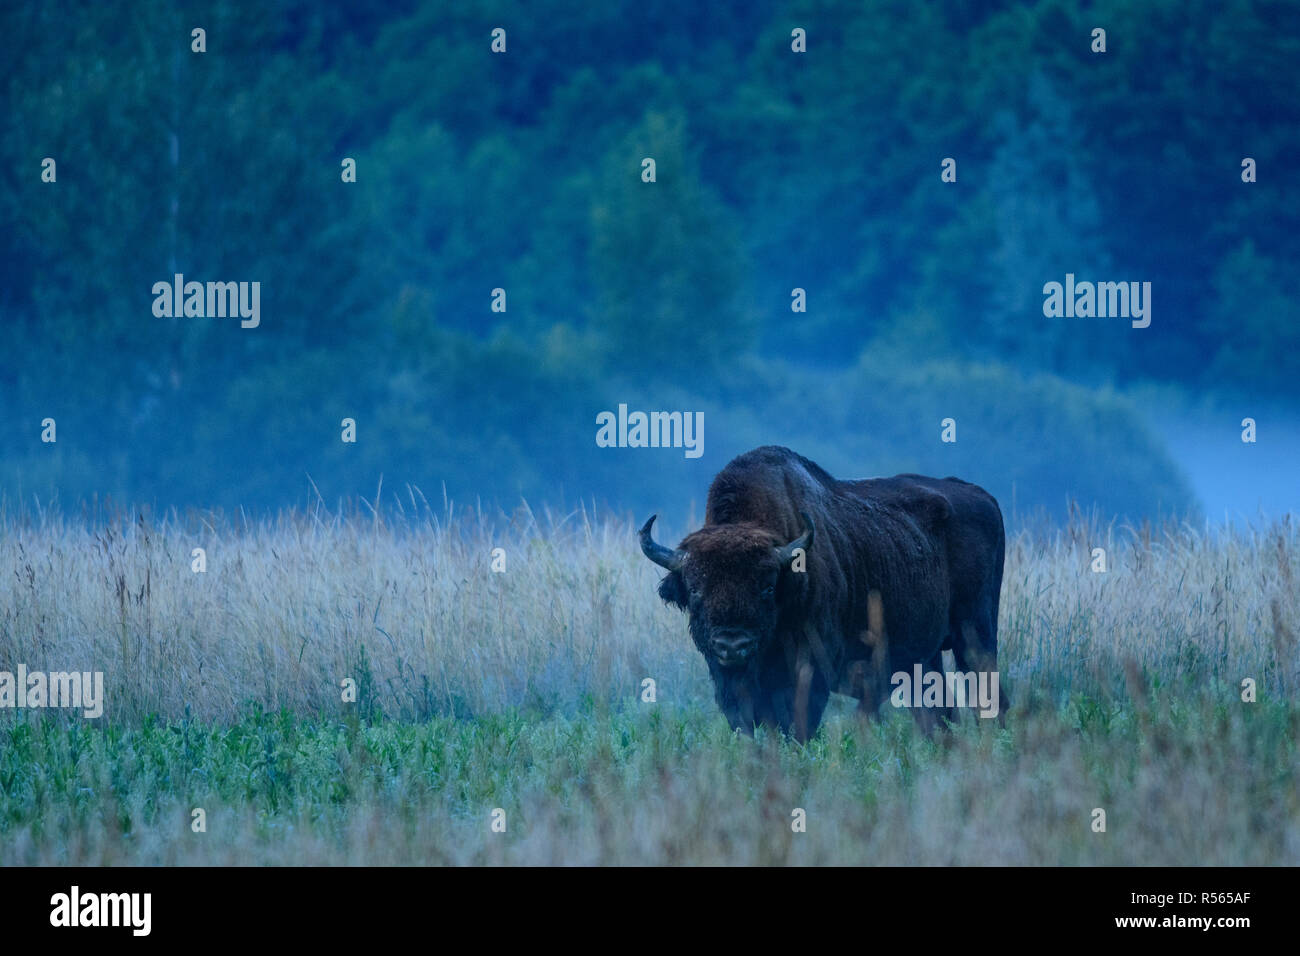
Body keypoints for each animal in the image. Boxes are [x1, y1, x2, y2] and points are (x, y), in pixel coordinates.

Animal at [639, 444, 1003, 743]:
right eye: (695, 589)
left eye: (767, 587)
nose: (732, 644)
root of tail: (984, 497)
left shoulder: (809, 674)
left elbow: (798, 727)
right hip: (923, 659)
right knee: (938, 712)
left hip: (976, 636)